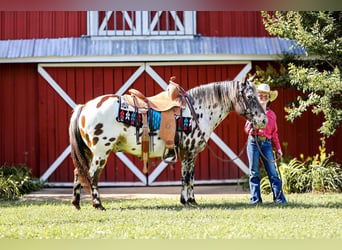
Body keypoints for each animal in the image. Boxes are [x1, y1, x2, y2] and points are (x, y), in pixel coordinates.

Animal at [69, 77, 268, 210]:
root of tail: (85, 106)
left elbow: (190, 177)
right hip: (101, 153)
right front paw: (186, 201)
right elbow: (187, 177)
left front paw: (191, 200)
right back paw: (98, 204)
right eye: (250, 96)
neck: (197, 110)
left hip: (89, 153)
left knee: (79, 173)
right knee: (92, 176)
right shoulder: (189, 151)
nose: (263, 120)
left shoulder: (190, 153)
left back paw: (76, 203)